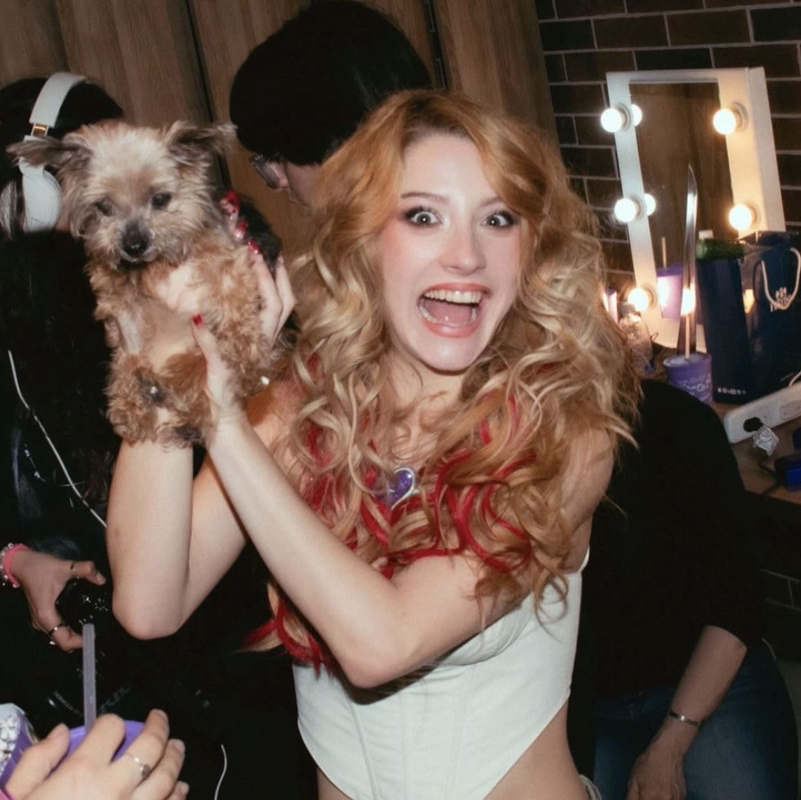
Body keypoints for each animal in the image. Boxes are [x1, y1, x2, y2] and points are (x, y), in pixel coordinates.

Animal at [10, 121, 281, 446]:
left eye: (160, 199)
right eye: (104, 206)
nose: (134, 245)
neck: (152, 264)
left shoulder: (229, 259)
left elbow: (234, 306)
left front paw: (250, 365)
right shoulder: (118, 300)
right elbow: (128, 347)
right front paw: (127, 404)